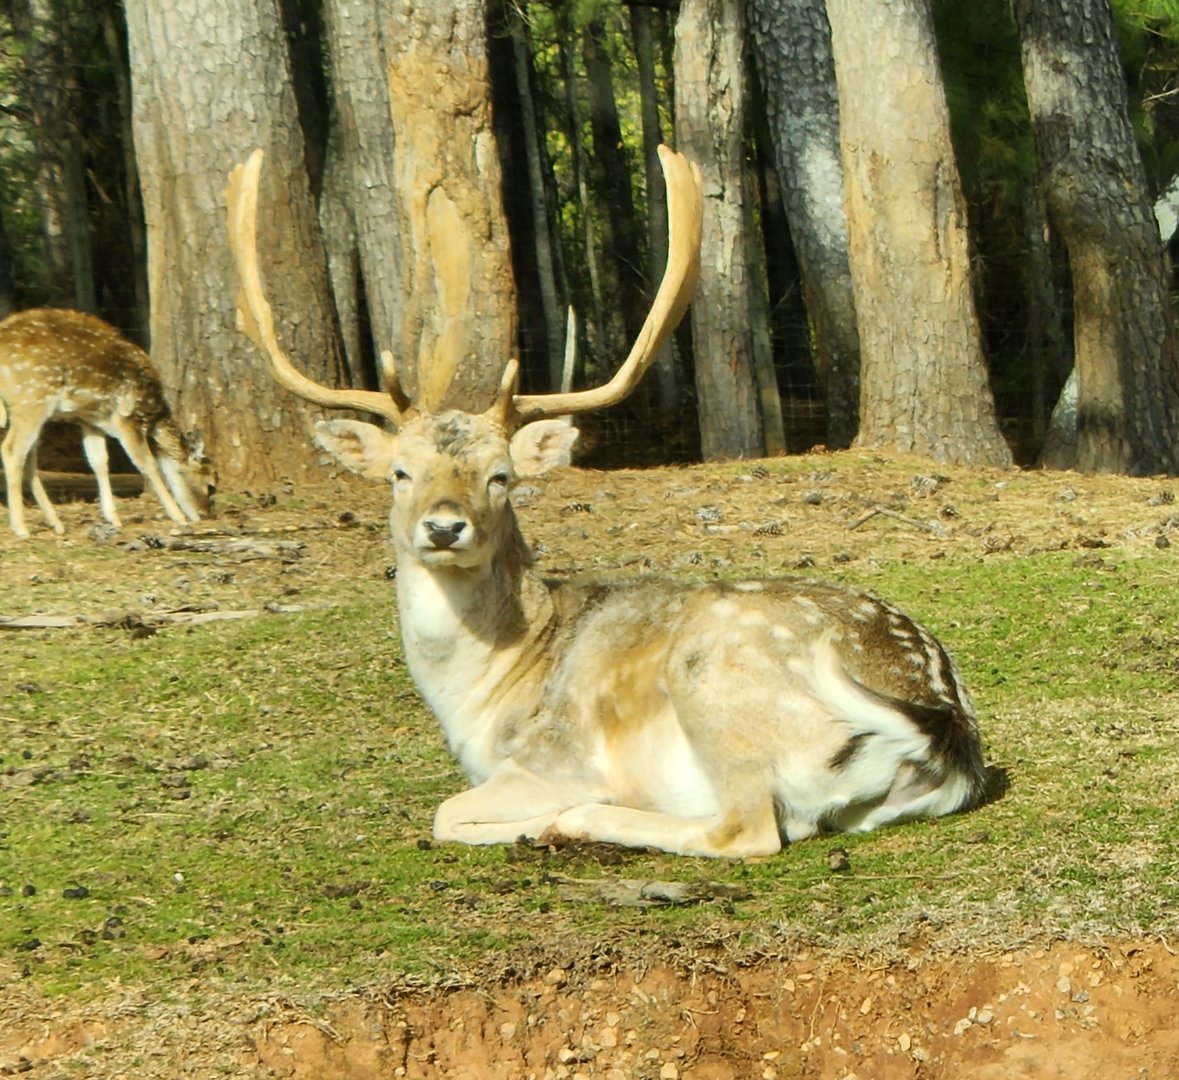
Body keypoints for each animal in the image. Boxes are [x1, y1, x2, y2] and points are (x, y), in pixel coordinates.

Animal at [0, 308, 214, 539]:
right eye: (211, 486)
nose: (205, 515)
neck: (154, 413)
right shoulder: (128, 419)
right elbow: (147, 464)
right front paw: (178, 516)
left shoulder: (91, 421)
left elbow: (99, 462)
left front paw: (113, 517)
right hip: (32, 398)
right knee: (12, 451)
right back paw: (21, 528)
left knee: (29, 458)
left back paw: (55, 523)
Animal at [225, 147, 988, 858]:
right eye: (399, 473)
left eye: (500, 476)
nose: (445, 528)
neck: (484, 694)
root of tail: (943, 730)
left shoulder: (549, 756)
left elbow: (446, 814)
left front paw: (539, 817)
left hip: (714, 682)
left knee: (748, 828)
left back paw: (579, 820)